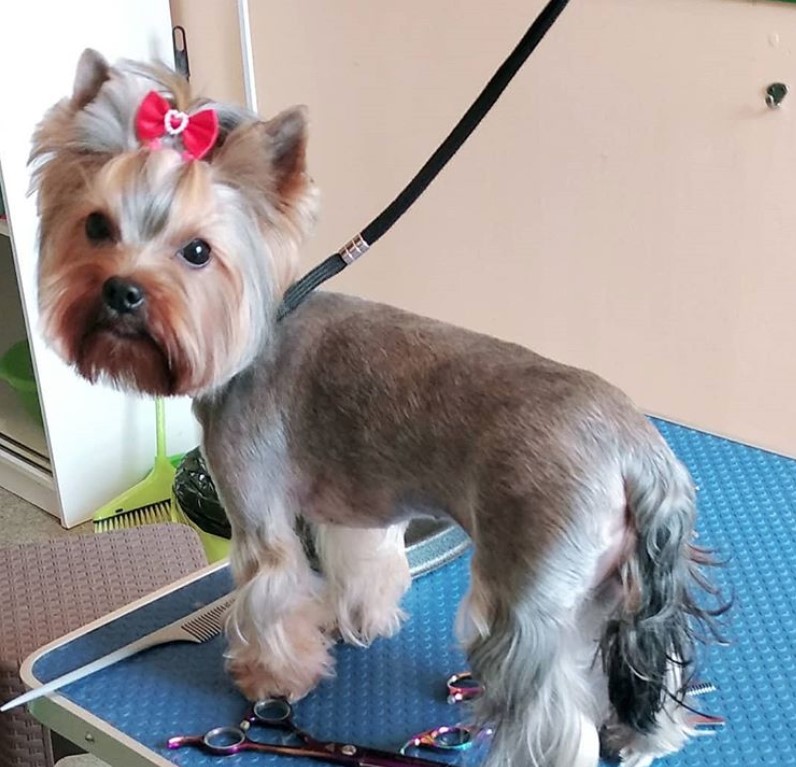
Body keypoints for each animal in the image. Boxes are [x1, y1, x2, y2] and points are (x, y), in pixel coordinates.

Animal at [29, 51, 720, 764]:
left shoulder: (257, 511)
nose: (121, 292)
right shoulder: (353, 514)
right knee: (648, 666)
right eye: (96, 226)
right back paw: (643, 737)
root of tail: (638, 455)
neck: (255, 330)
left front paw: (270, 680)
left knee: (549, 711)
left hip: (527, 597)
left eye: (197, 251)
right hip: (614, 588)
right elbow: (361, 568)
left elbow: (270, 594)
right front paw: (353, 622)